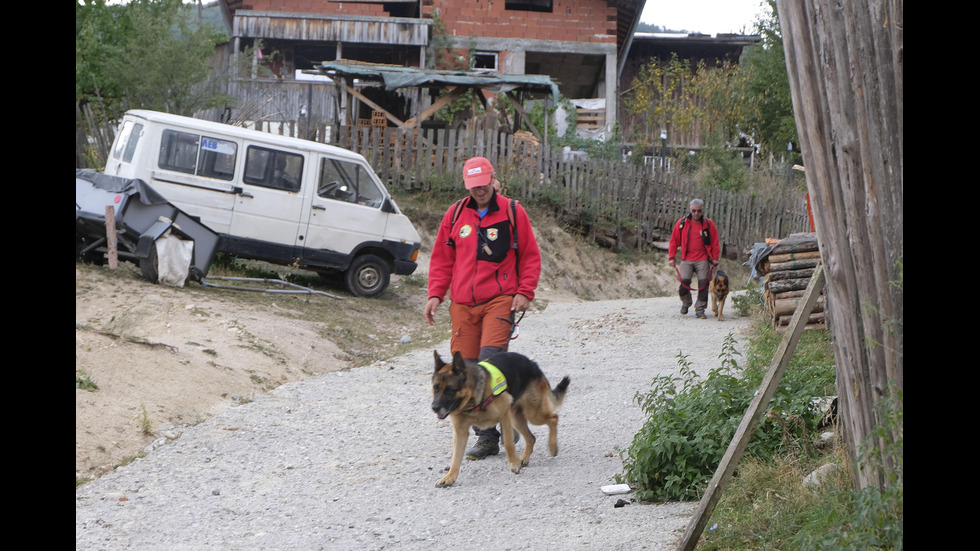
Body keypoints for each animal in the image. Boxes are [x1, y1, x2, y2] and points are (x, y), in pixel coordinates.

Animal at [430, 352, 576, 490]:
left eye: (450, 390)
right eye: (435, 388)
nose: (434, 408)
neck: (473, 403)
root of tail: (532, 363)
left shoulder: (504, 417)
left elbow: (509, 443)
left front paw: (514, 464)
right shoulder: (461, 432)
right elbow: (456, 457)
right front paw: (449, 478)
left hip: (532, 414)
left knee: (554, 418)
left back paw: (552, 447)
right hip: (516, 419)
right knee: (531, 438)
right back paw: (524, 459)